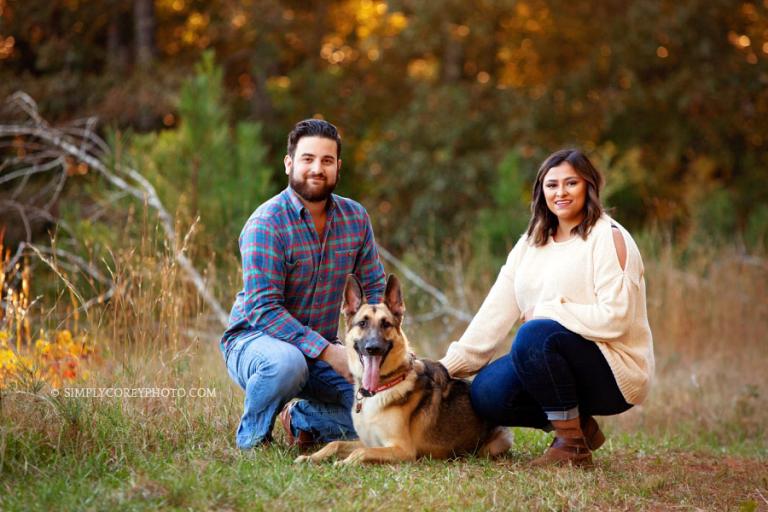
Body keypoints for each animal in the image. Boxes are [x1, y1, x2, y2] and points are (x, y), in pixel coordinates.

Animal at [296, 276, 512, 464]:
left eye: (386, 324)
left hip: (494, 445)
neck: (378, 389)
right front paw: (310, 457)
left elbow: (360, 451)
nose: (372, 348)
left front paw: (345, 462)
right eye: (362, 323)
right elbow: (335, 443)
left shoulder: (401, 450)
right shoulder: (368, 441)